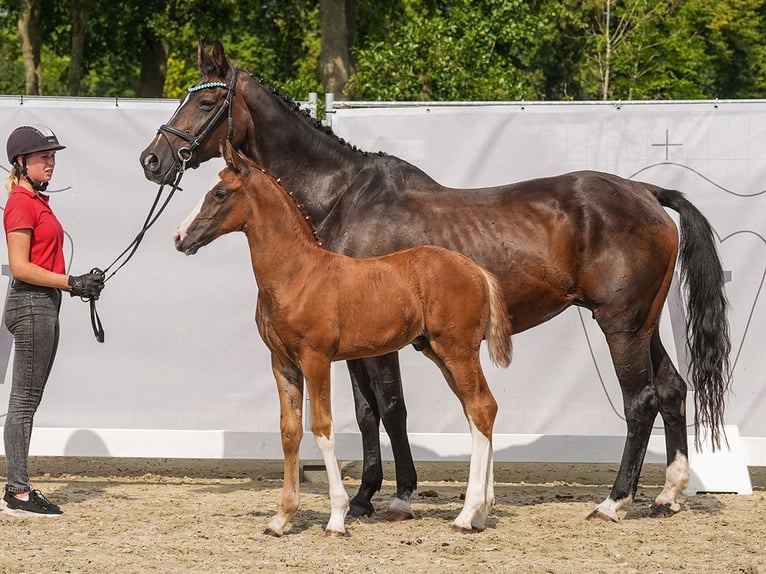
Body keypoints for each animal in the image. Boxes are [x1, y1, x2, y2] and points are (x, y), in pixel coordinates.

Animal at [174, 142, 510, 536]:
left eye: (220, 193)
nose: (179, 237)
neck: (298, 274)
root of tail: (477, 270)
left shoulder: (316, 359)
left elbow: (322, 428)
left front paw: (337, 517)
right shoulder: (282, 363)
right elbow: (290, 431)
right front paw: (282, 518)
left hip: (456, 351)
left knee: (481, 408)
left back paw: (466, 515)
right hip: (440, 354)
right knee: (479, 411)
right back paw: (481, 512)